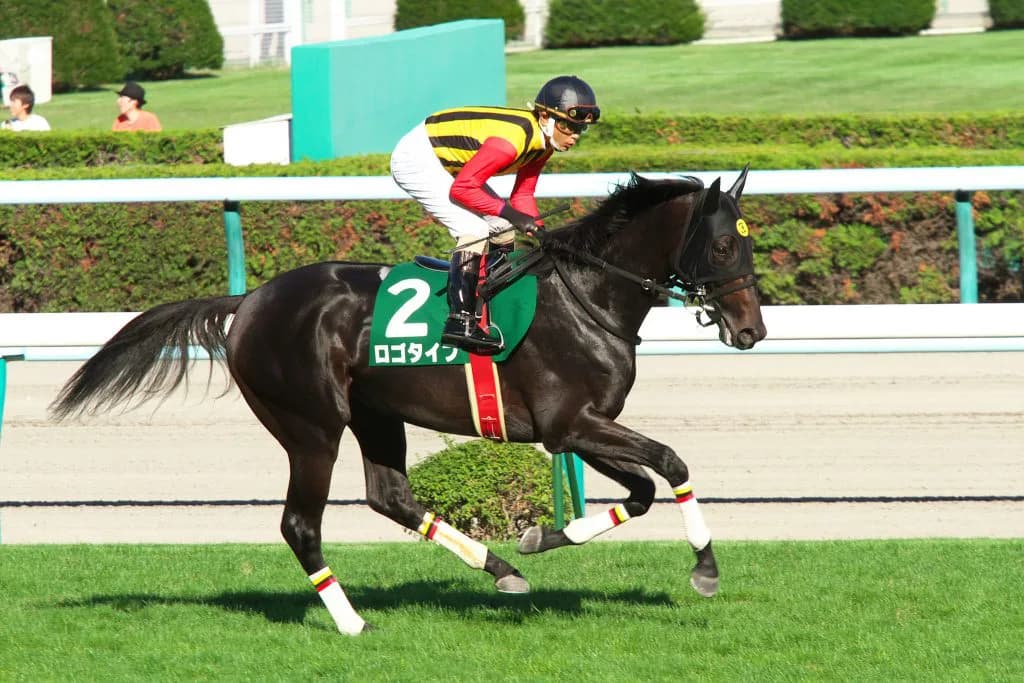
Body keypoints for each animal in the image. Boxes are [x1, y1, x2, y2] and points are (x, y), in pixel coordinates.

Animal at [51, 168, 766, 635]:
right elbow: (670, 463)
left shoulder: (582, 428)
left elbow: (642, 491)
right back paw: (351, 623)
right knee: (300, 524)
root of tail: (248, 301)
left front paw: (538, 536)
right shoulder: (568, 424)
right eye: (724, 244)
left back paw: (501, 568)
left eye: (750, 242)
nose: (752, 331)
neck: (588, 297)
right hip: (312, 426)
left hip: (374, 414)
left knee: (389, 496)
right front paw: (706, 570)